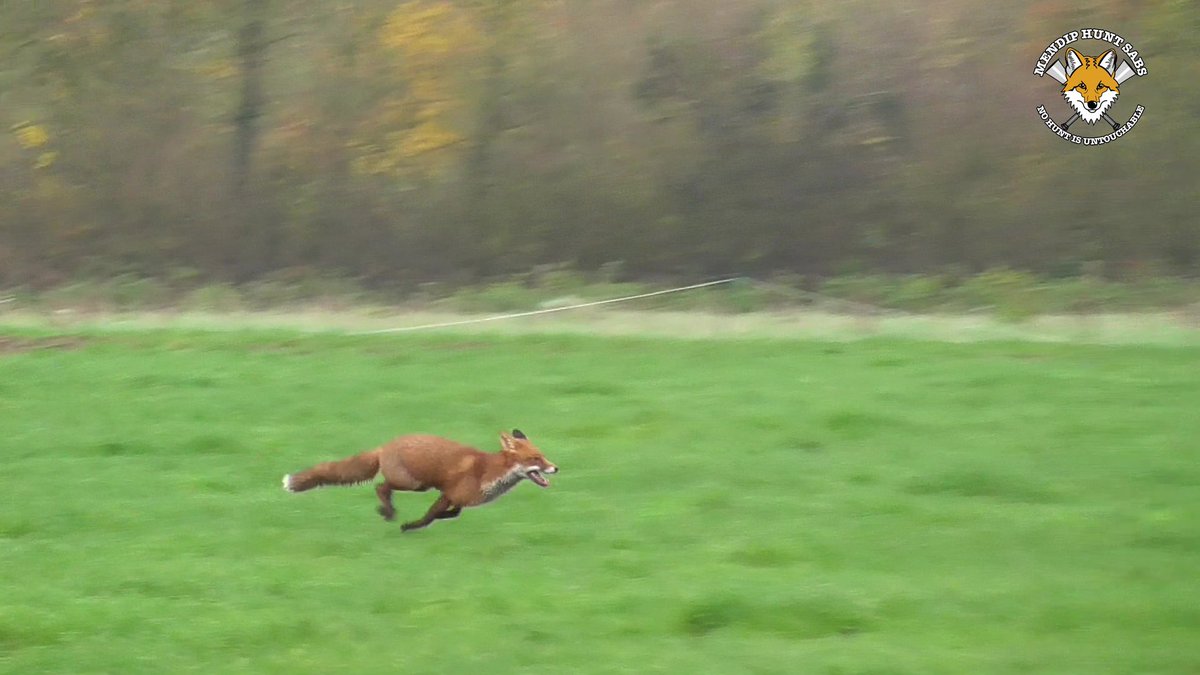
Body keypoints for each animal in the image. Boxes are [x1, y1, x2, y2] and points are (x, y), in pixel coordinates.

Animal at [282, 429, 558, 532]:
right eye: (535, 458)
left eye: (543, 455)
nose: (555, 468)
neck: (488, 472)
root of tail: (384, 446)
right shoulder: (449, 493)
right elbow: (430, 516)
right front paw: (410, 527)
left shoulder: (456, 498)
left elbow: (451, 513)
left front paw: (433, 520)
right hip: (414, 484)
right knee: (381, 487)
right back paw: (388, 512)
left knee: (382, 488)